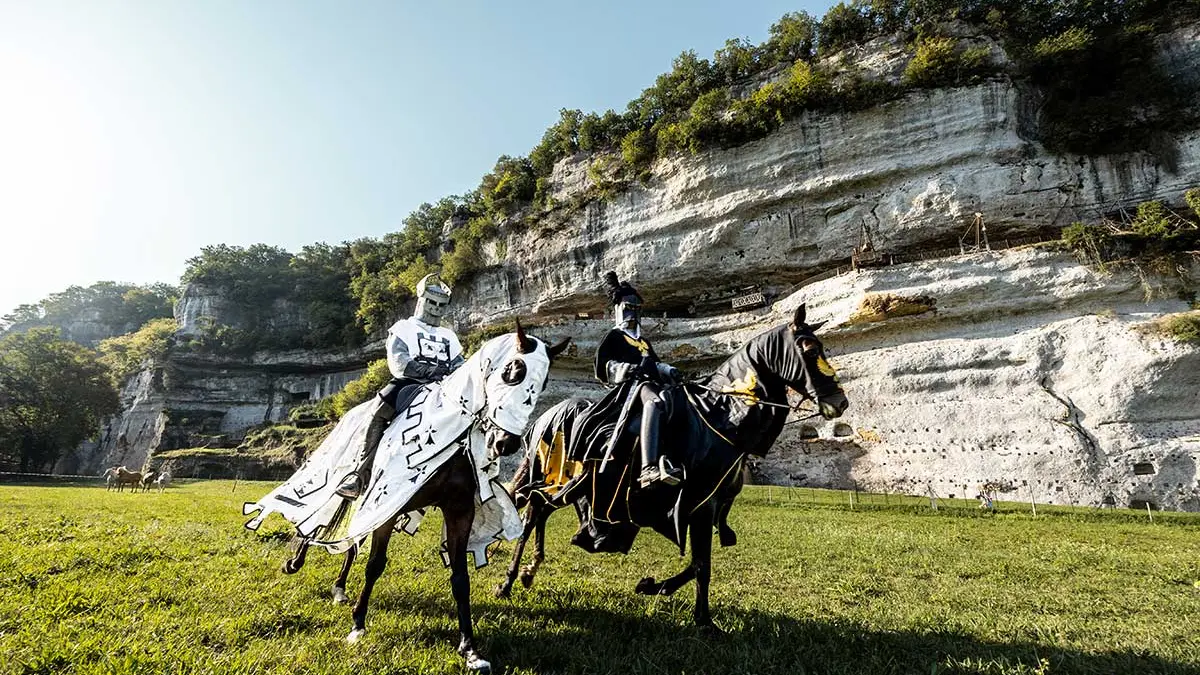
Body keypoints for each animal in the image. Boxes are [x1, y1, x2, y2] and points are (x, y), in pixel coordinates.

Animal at [274, 324, 568, 667]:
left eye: (544, 382)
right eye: (513, 371)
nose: (505, 443)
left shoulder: (458, 511)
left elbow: (460, 578)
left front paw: (469, 648)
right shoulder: (387, 504)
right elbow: (375, 564)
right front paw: (358, 625)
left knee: (351, 541)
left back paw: (339, 588)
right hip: (350, 484)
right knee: (316, 521)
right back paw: (295, 562)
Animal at [492, 302, 849, 629]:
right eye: (809, 349)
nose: (840, 402)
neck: (717, 417)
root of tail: (545, 417)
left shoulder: (704, 507)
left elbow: (699, 564)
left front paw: (671, 598)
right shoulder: (698, 506)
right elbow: (701, 565)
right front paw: (693, 614)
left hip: (567, 487)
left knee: (539, 511)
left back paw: (529, 572)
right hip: (553, 479)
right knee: (531, 515)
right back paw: (508, 582)